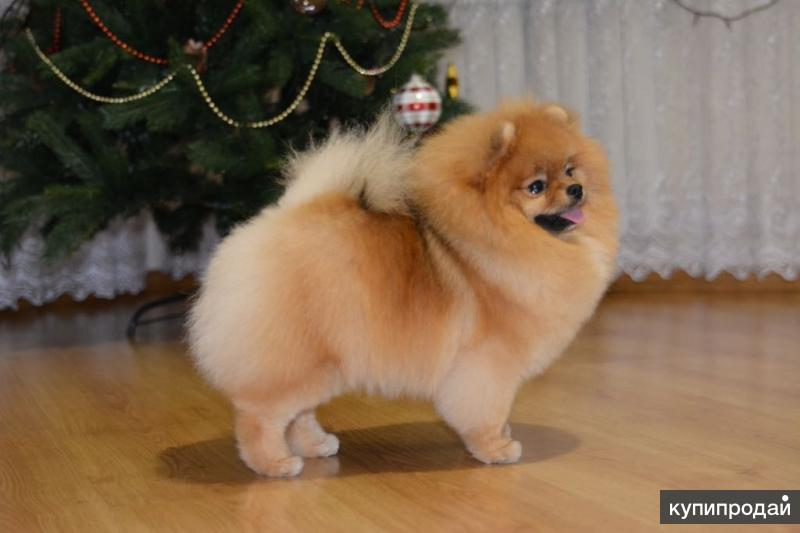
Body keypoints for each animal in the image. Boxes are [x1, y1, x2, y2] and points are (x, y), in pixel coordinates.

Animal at [188, 100, 619, 477]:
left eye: (570, 169)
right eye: (535, 187)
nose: (576, 189)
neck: (491, 239)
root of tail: (281, 218)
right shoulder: (487, 362)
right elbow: (487, 409)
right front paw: (495, 447)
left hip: (325, 360)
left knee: (297, 414)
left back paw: (316, 445)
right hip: (298, 360)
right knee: (258, 415)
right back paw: (274, 464)